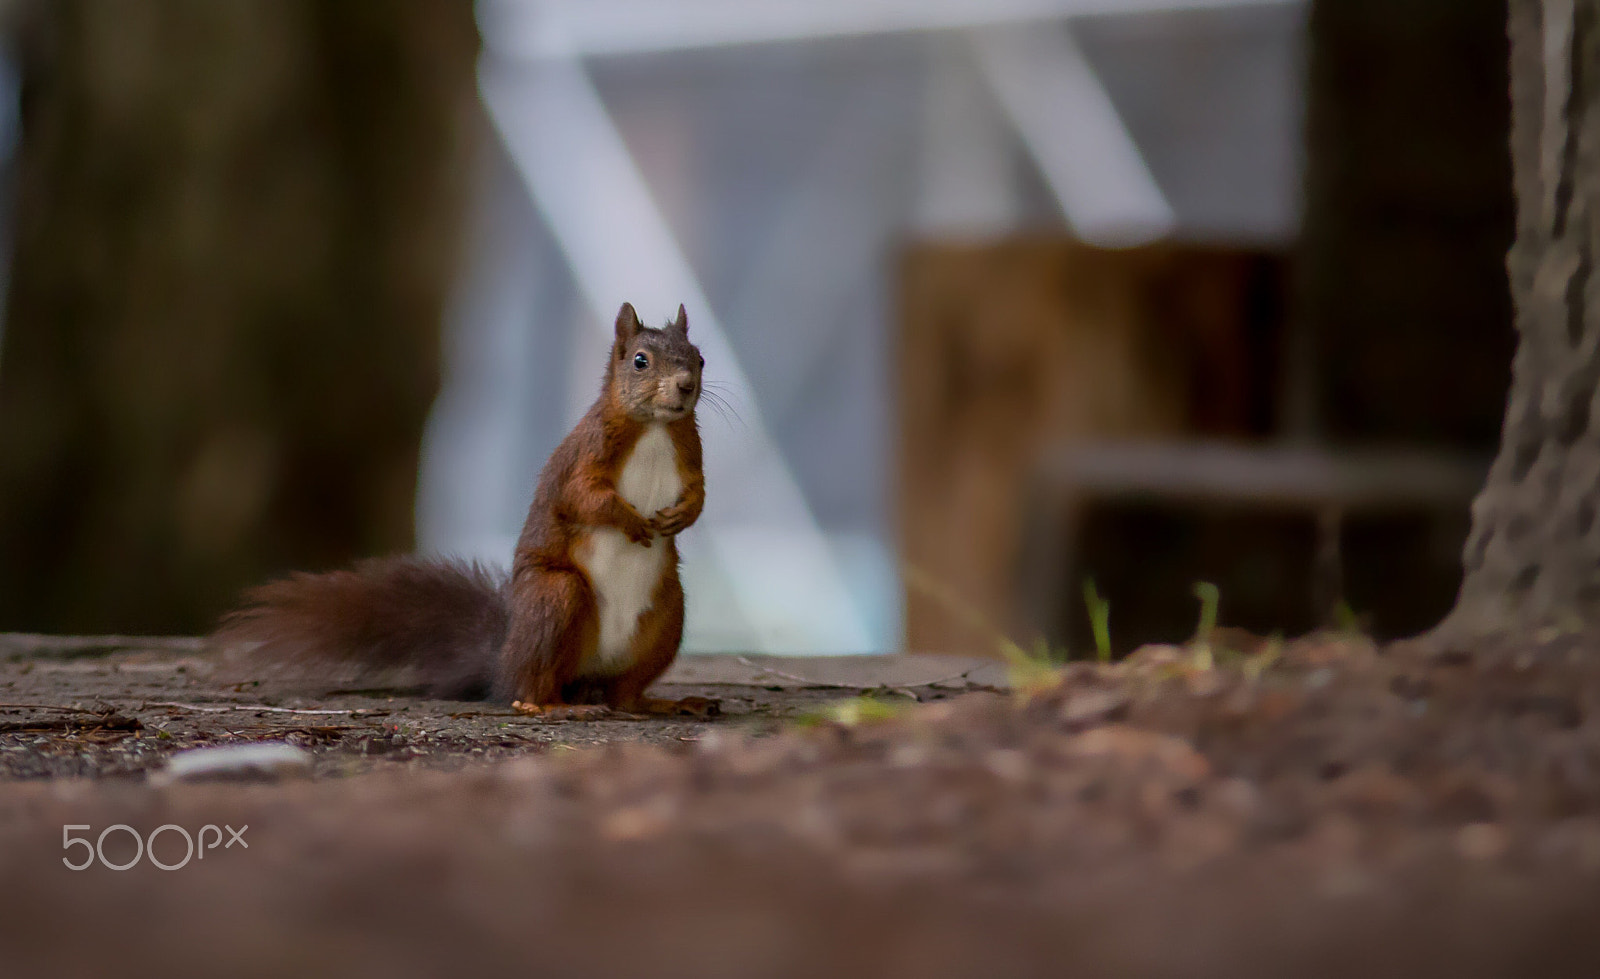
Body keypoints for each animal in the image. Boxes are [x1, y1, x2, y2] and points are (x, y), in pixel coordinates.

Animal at [214, 302, 717, 719]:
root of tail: (505, 661)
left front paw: (683, 516)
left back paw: (659, 703)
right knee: (529, 685)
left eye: (699, 358)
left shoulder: (690, 458)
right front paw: (629, 519)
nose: (687, 386)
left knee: (625, 693)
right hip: (556, 597)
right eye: (640, 361)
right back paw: (551, 706)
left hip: (667, 616)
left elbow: (699, 493)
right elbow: (584, 498)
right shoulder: (586, 456)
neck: (655, 428)